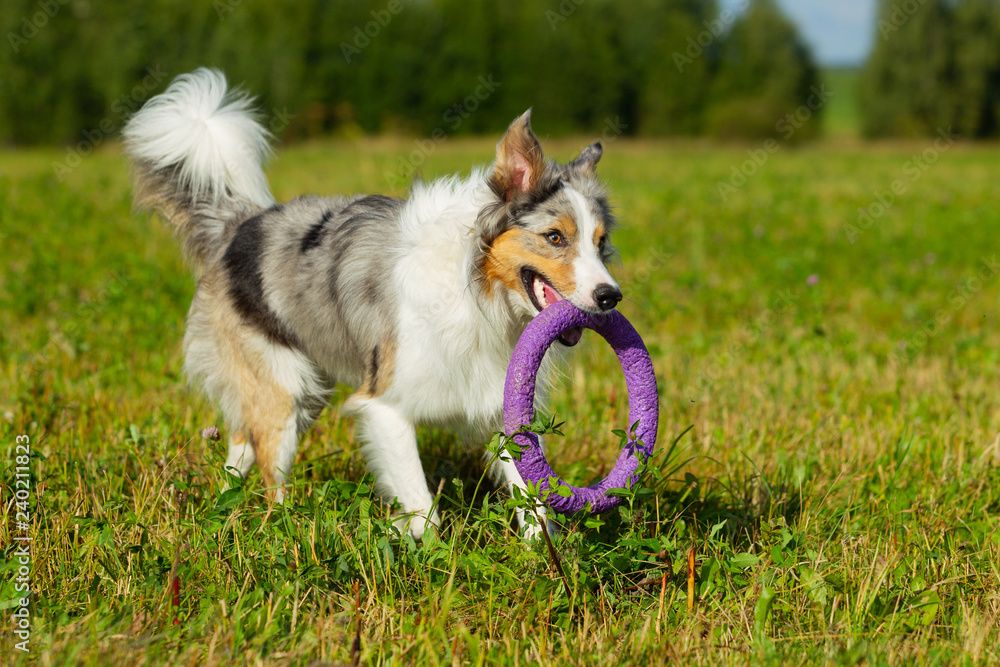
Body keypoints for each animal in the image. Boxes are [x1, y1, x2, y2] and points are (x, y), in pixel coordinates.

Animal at [123, 68, 624, 540]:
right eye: (554, 237)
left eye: (600, 243)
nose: (610, 296)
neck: (476, 288)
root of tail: (241, 225)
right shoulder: (385, 407)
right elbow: (423, 507)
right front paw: (431, 557)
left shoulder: (501, 403)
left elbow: (532, 498)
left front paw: (544, 560)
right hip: (284, 391)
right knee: (269, 465)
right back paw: (282, 528)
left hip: (304, 390)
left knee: (241, 442)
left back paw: (227, 506)